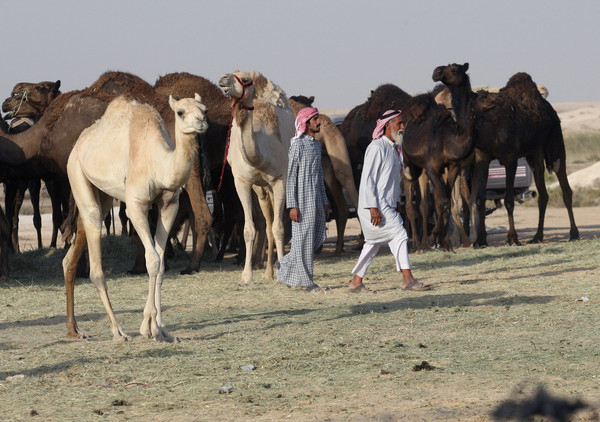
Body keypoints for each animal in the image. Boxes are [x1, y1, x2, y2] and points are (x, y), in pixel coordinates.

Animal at [62, 94, 209, 342]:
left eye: (204, 109)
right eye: (180, 112)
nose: (201, 123)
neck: (158, 162)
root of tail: (79, 143)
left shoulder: (169, 205)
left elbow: (161, 263)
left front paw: (162, 329)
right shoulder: (136, 206)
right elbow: (152, 260)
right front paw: (148, 328)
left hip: (101, 193)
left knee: (72, 251)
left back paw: (74, 330)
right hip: (75, 172)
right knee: (95, 255)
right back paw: (118, 331)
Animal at [219, 71, 296, 286]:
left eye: (245, 80)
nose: (223, 79)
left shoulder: (279, 180)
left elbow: (279, 228)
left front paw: (283, 275)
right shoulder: (242, 182)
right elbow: (248, 229)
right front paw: (246, 276)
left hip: (274, 185)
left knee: (274, 224)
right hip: (261, 189)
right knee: (267, 225)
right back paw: (268, 272)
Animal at [462, 71, 580, 244]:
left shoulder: (510, 159)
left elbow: (509, 200)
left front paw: (512, 238)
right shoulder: (482, 158)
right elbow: (480, 199)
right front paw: (481, 240)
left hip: (556, 145)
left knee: (565, 188)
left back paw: (574, 233)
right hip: (534, 154)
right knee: (543, 195)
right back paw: (537, 236)